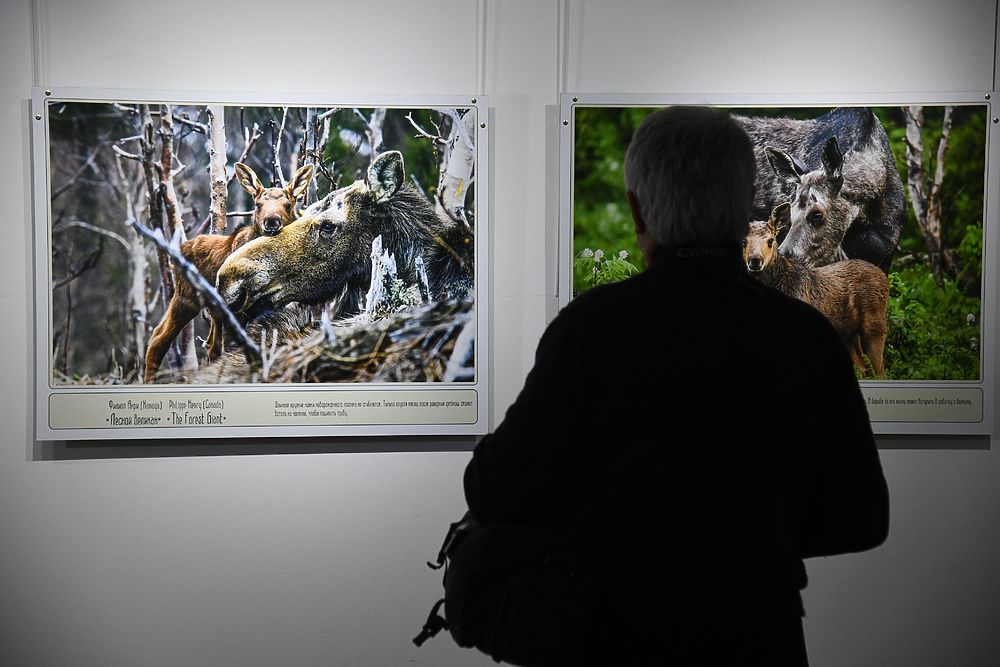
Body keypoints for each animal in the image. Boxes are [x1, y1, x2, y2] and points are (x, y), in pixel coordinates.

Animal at [144, 160, 312, 386]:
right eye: (258, 205)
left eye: (288, 205)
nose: (271, 222)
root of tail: (179, 250)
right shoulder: (239, 309)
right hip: (187, 297)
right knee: (159, 339)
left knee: (209, 346)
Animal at [744, 201, 892, 378]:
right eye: (744, 241)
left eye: (770, 240)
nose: (755, 261)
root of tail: (884, 277)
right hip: (848, 336)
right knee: (864, 369)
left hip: (875, 325)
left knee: (881, 372)